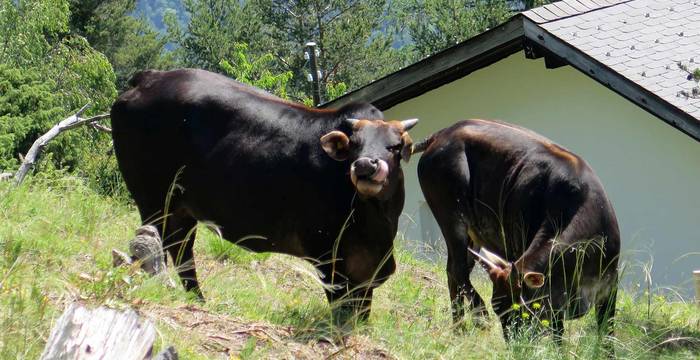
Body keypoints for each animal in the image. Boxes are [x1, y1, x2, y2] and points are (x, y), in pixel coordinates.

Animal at [109, 68, 416, 318]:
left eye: (395, 147)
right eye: (354, 145)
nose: (365, 165)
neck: (376, 224)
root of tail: (151, 77)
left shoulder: (368, 272)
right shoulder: (330, 260)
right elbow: (344, 313)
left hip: (182, 208)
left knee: (181, 250)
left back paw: (198, 299)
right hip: (153, 199)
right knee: (160, 246)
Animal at [412, 119, 620, 342]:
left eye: (520, 308)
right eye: (498, 308)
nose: (513, 344)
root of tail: (443, 132)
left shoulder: (608, 286)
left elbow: (605, 332)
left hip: (470, 235)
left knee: (454, 272)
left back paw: (459, 328)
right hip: (452, 219)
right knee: (457, 270)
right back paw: (478, 315)